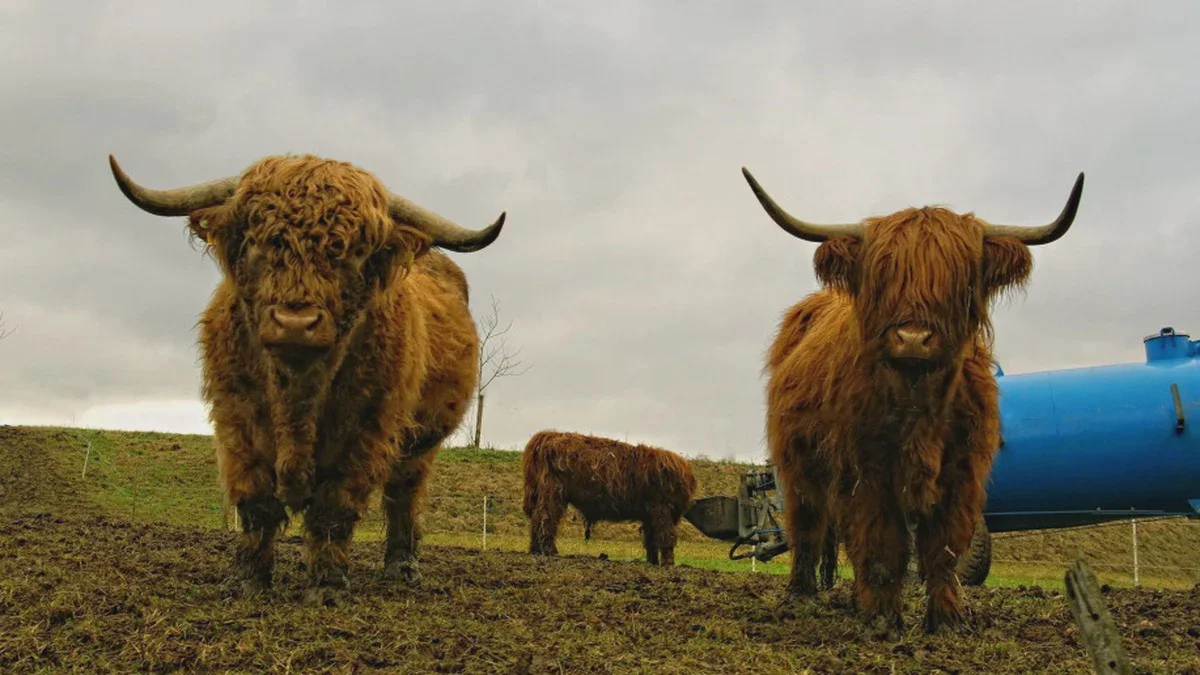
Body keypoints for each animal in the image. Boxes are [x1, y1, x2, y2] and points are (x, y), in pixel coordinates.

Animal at [108, 153, 505, 605]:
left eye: (352, 253)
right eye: (258, 242)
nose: (295, 323)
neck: (297, 394)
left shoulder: (366, 431)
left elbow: (334, 510)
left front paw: (327, 586)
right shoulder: (236, 424)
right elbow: (256, 505)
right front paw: (246, 581)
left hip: (421, 442)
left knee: (403, 495)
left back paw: (402, 567)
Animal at [522, 430, 698, 566]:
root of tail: (549, 435)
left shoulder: (650, 514)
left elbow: (651, 539)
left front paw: (652, 562)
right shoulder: (662, 509)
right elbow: (665, 536)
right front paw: (668, 564)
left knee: (538, 519)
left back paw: (536, 550)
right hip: (553, 493)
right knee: (545, 518)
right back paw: (549, 551)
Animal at [742, 166, 1084, 638]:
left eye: (960, 277)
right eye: (883, 275)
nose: (913, 338)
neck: (918, 403)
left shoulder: (961, 473)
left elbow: (943, 549)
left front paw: (947, 621)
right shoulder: (866, 472)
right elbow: (882, 545)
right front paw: (883, 620)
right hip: (799, 462)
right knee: (807, 525)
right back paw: (802, 595)